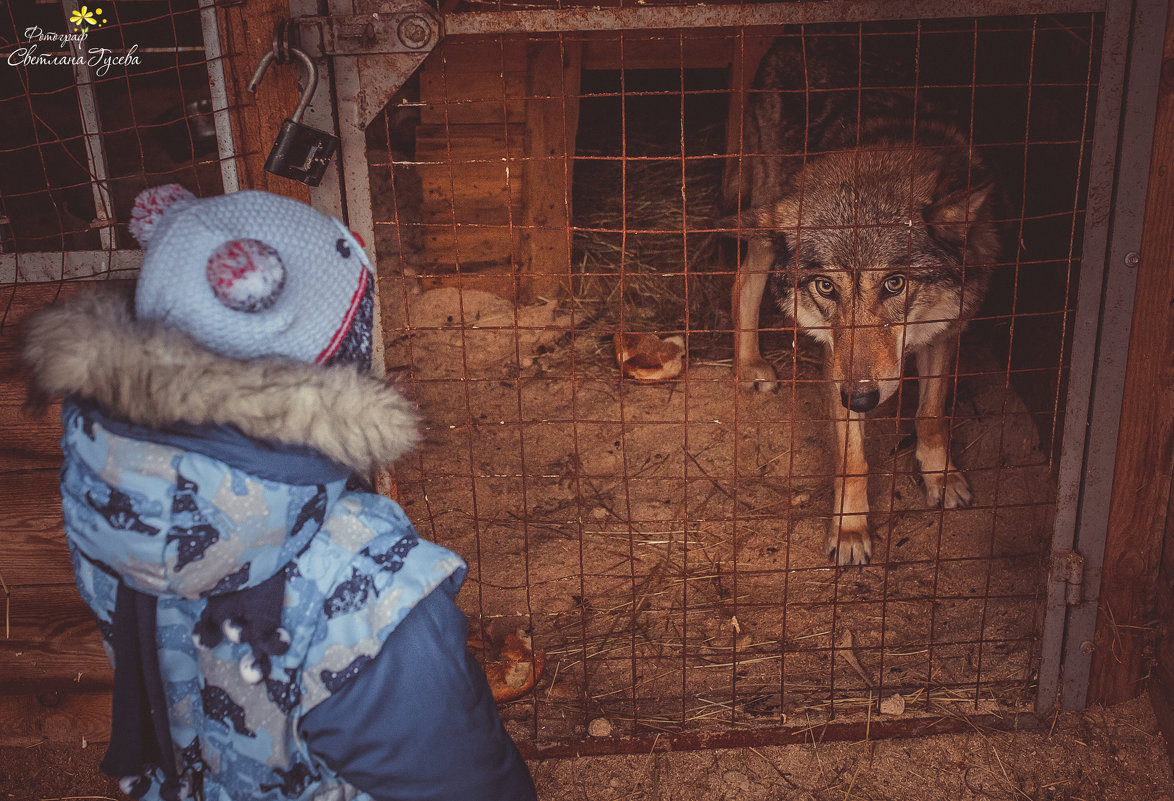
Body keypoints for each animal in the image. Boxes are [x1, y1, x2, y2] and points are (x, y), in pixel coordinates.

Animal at [723, 34, 1000, 563]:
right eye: (826, 286)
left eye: (894, 283)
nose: (863, 398)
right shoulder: (836, 363)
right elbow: (853, 459)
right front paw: (850, 532)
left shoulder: (945, 330)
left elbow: (931, 415)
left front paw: (940, 477)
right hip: (769, 218)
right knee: (742, 283)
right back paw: (749, 366)